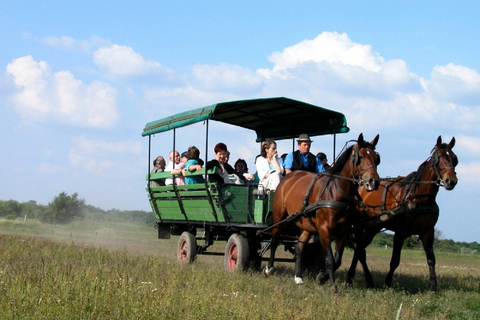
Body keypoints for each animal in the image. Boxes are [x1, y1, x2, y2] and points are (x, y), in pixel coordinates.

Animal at [264, 132, 380, 290]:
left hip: (306, 225)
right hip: (279, 217)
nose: (374, 181)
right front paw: (332, 286)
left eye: (376, 158)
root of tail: (287, 178)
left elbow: (337, 260)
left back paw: (298, 277)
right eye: (360, 157)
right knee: (275, 240)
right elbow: (330, 259)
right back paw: (269, 269)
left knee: (299, 248)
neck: (335, 193)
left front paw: (321, 278)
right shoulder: (324, 230)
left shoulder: (343, 232)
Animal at [344, 136, 458, 292]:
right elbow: (395, 260)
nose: (451, 181)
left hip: (373, 227)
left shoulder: (428, 232)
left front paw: (433, 286)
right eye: (439, 158)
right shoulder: (400, 232)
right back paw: (355, 279)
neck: (419, 199)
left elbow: (431, 259)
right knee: (360, 250)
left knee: (359, 250)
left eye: (454, 158)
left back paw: (351, 278)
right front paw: (387, 283)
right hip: (362, 227)